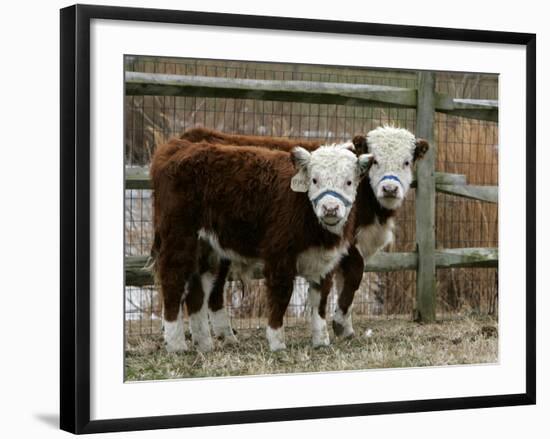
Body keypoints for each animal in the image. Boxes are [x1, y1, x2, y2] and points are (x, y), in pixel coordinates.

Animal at [151, 139, 374, 352]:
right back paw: (177, 345)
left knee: (198, 291)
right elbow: (281, 294)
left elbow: (320, 300)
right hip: (180, 237)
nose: (330, 208)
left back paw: (205, 344)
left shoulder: (325, 261)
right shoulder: (279, 254)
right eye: (314, 180)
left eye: (349, 181)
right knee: (173, 279)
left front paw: (321, 341)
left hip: (209, 249)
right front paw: (277, 342)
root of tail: (178, 147)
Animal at [182, 125, 432, 342]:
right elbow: (355, 274)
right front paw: (340, 324)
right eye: (376, 161)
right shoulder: (347, 242)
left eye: (406, 161)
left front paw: (345, 328)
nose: (390, 189)